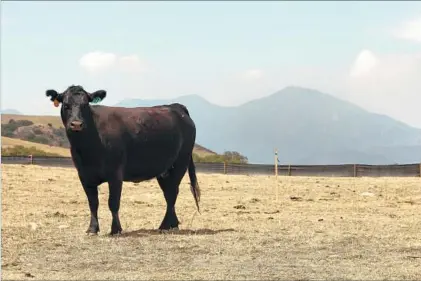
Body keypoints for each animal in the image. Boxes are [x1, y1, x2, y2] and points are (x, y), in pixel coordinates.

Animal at [46, 85, 200, 234]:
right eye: (66, 105)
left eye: (85, 105)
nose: (76, 124)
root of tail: (176, 107)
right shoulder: (84, 175)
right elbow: (93, 203)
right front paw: (92, 229)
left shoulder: (115, 173)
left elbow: (113, 203)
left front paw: (116, 229)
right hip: (164, 170)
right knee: (169, 194)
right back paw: (171, 225)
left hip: (180, 163)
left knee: (172, 193)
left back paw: (165, 225)